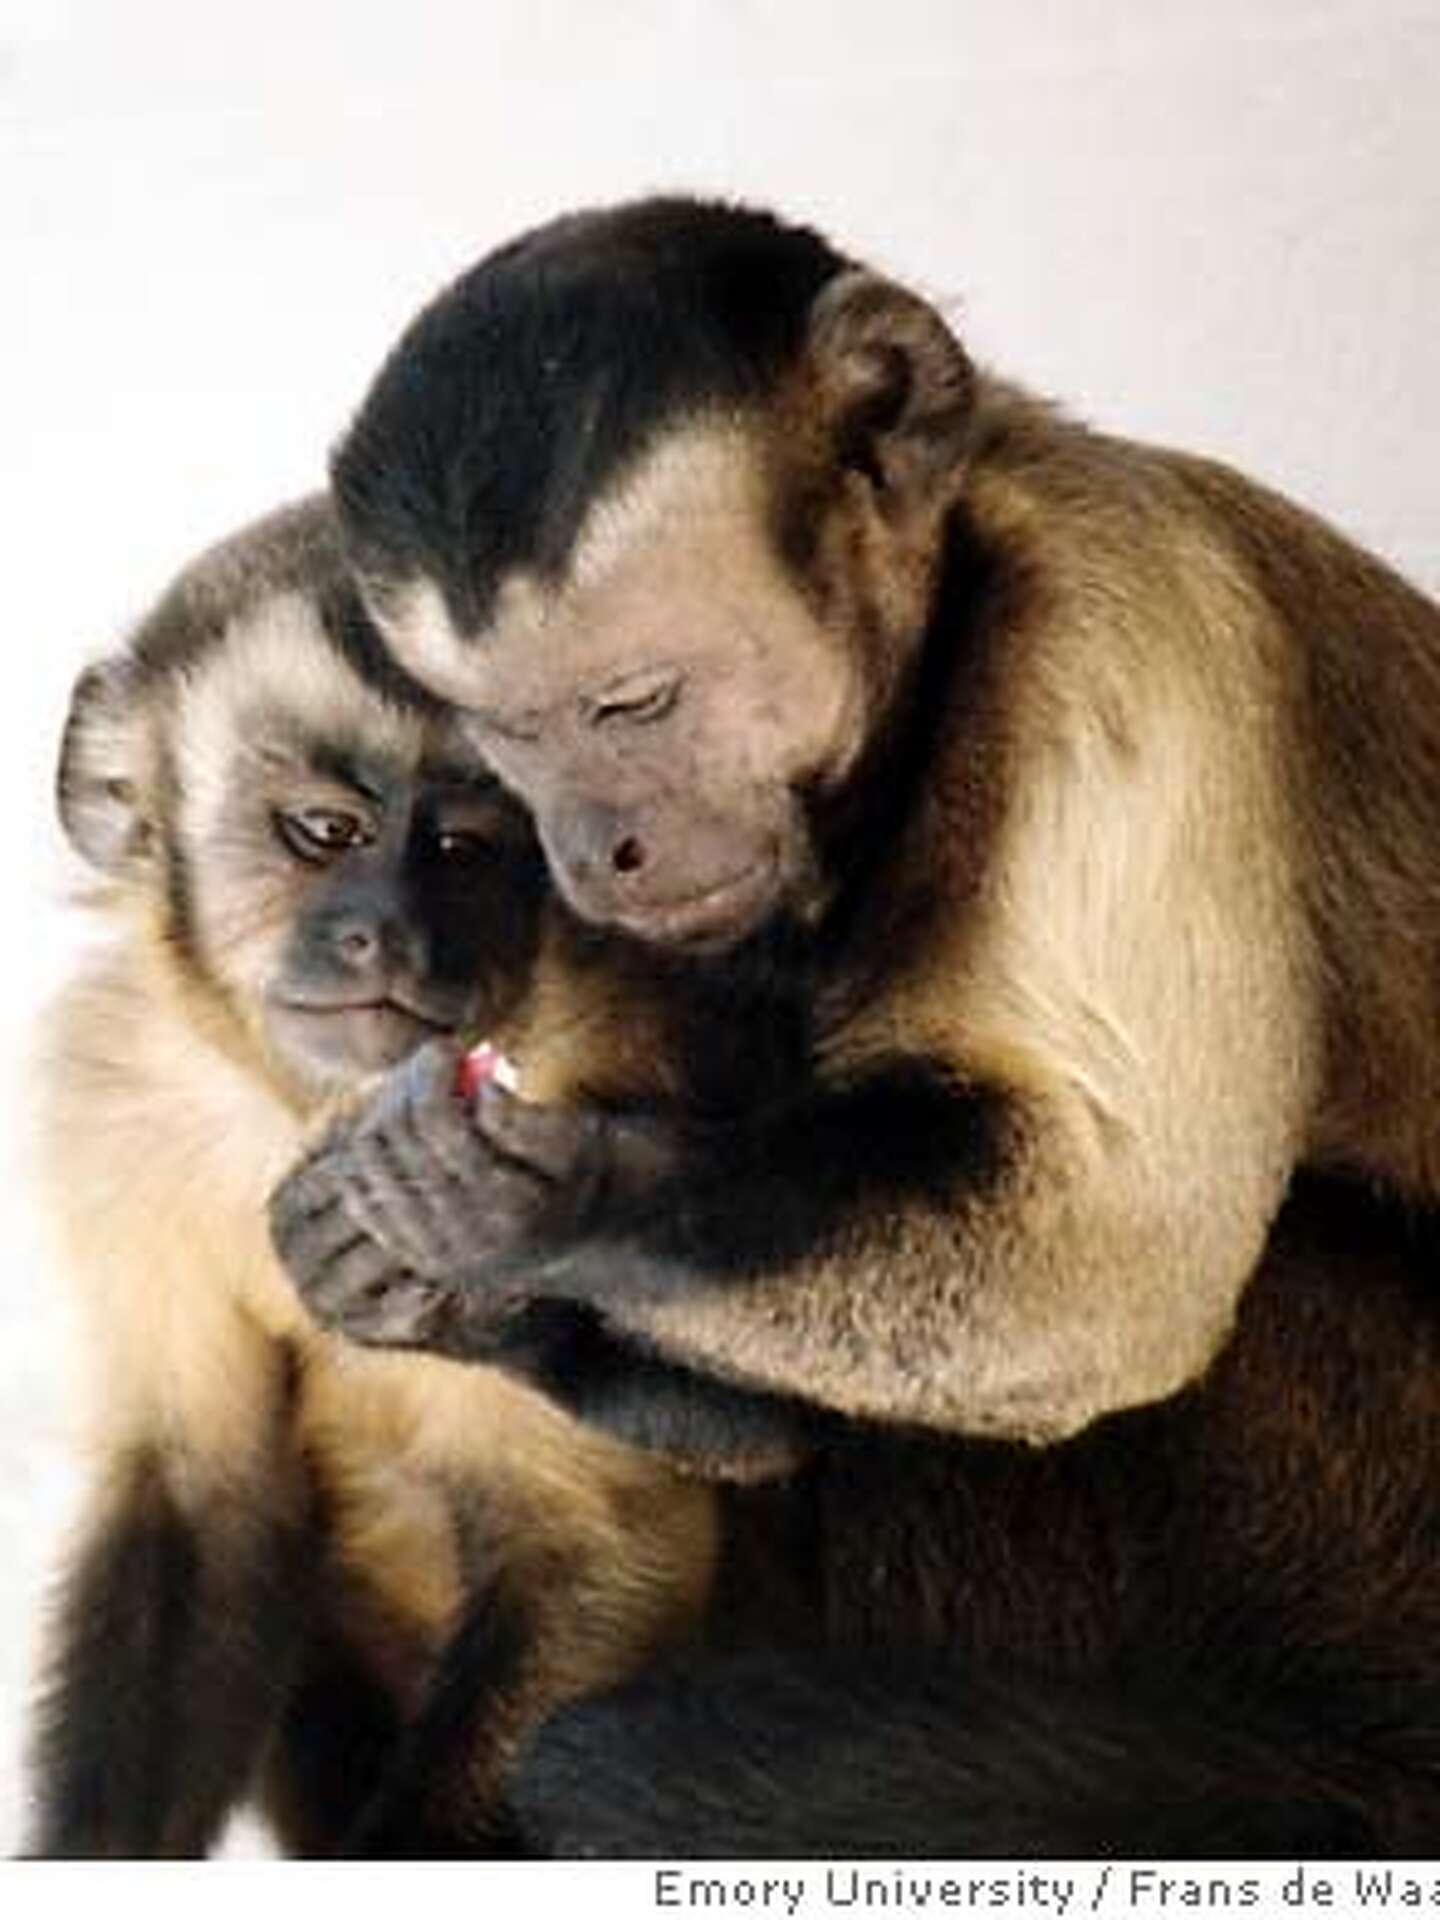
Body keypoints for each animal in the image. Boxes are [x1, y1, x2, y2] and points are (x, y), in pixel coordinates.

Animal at [28, 494, 735, 1858]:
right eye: (325, 834)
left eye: (465, 846)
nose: (390, 933)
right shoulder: (113, 1102)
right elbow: (201, 1500)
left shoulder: (592, 1103)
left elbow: (602, 1541)